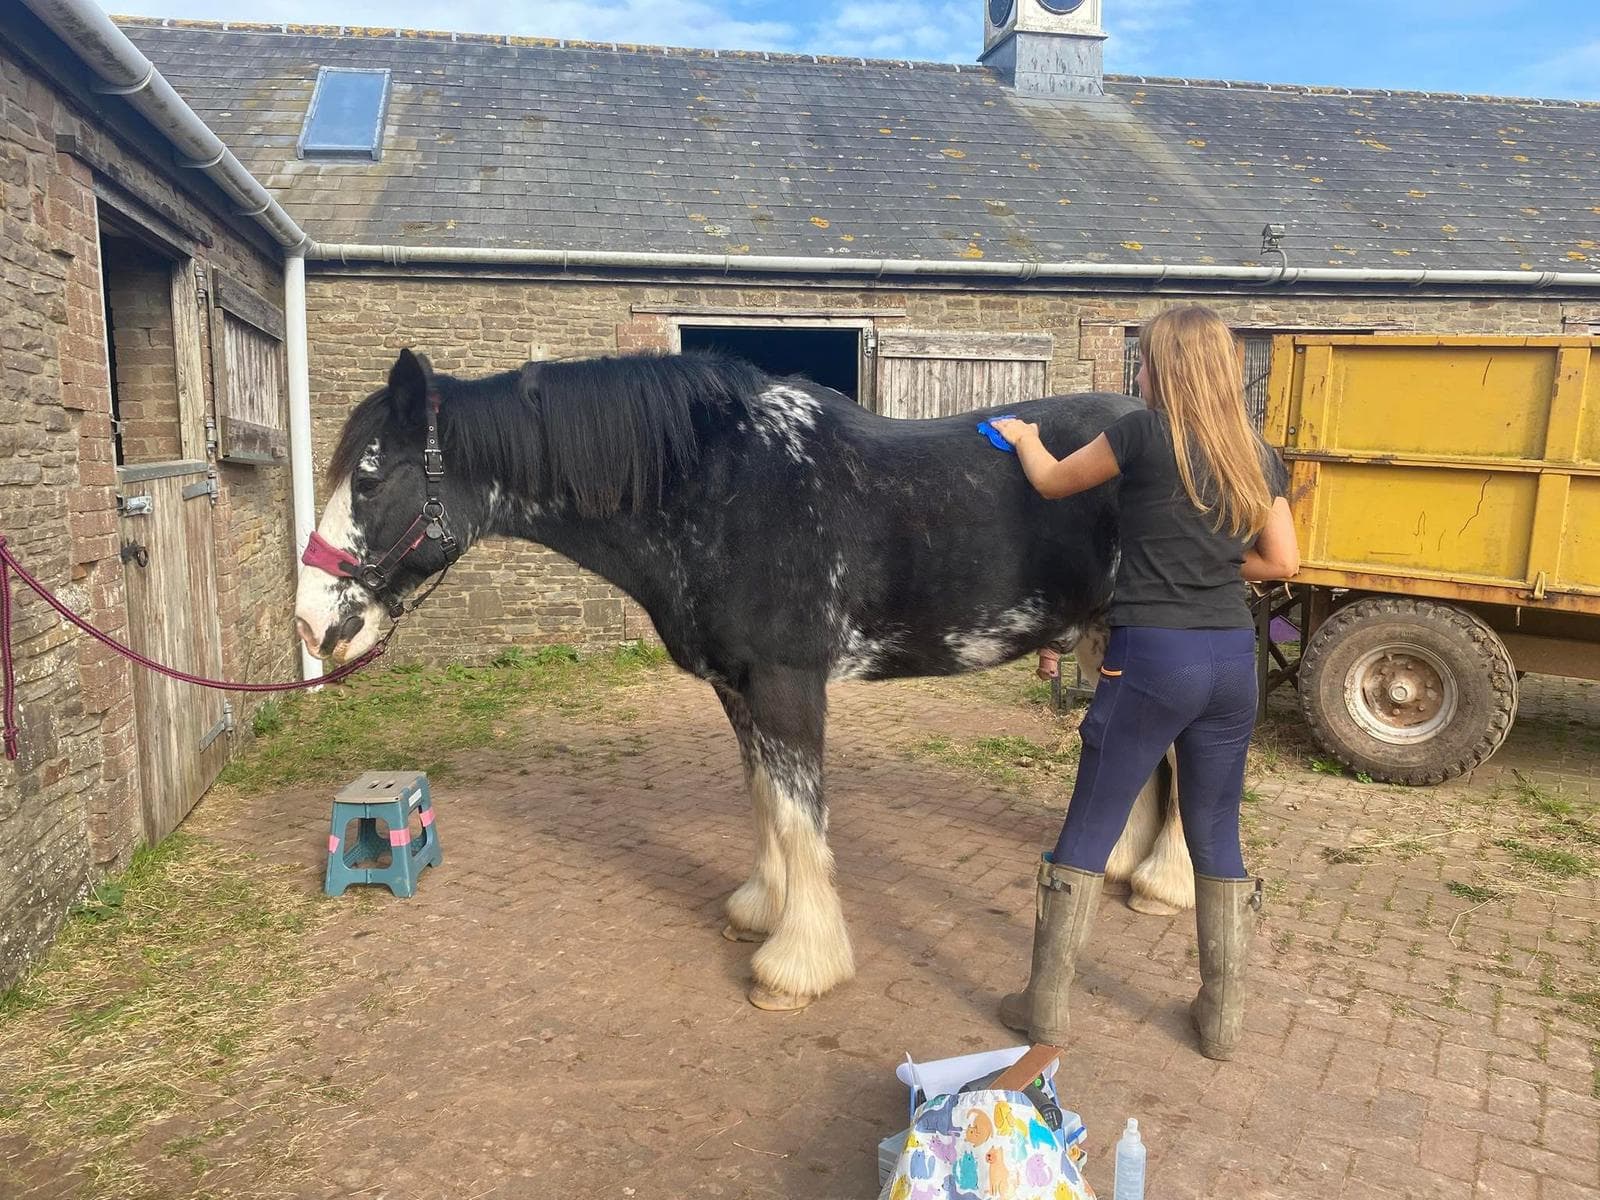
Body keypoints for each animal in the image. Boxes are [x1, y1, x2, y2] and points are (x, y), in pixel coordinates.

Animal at [294, 348, 1195, 1011]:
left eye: (368, 477)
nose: (311, 626)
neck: (718, 487)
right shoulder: (737, 686)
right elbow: (766, 799)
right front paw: (763, 911)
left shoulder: (787, 683)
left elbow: (799, 814)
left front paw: (797, 966)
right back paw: (1129, 871)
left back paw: (1162, 884)